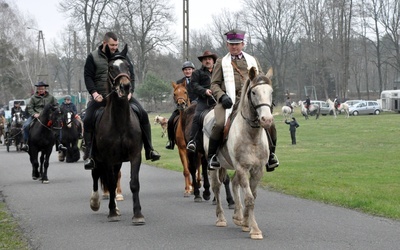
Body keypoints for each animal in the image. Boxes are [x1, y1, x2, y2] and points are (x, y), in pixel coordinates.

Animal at [89, 44, 144, 224]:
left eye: (127, 66)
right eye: (111, 68)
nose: (125, 86)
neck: (120, 122)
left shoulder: (134, 155)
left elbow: (134, 183)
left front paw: (138, 214)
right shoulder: (107, 158)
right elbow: (111, 183)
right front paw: (112, 212)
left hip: (118, 161)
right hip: (98, 159)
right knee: (96, 175)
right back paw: (96, 203)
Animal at [203, 67, 276, 239]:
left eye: (271, 92)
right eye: (254, 92)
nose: (267, 120)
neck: (251, 135)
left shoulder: (257, 170)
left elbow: (252, 195)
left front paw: (246, 223)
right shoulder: (242, 167)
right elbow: (249, 198)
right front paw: (254, 229)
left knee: (234, 183)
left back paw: (238, 216)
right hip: (214, 167)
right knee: (216, 187)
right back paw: (221, 218)